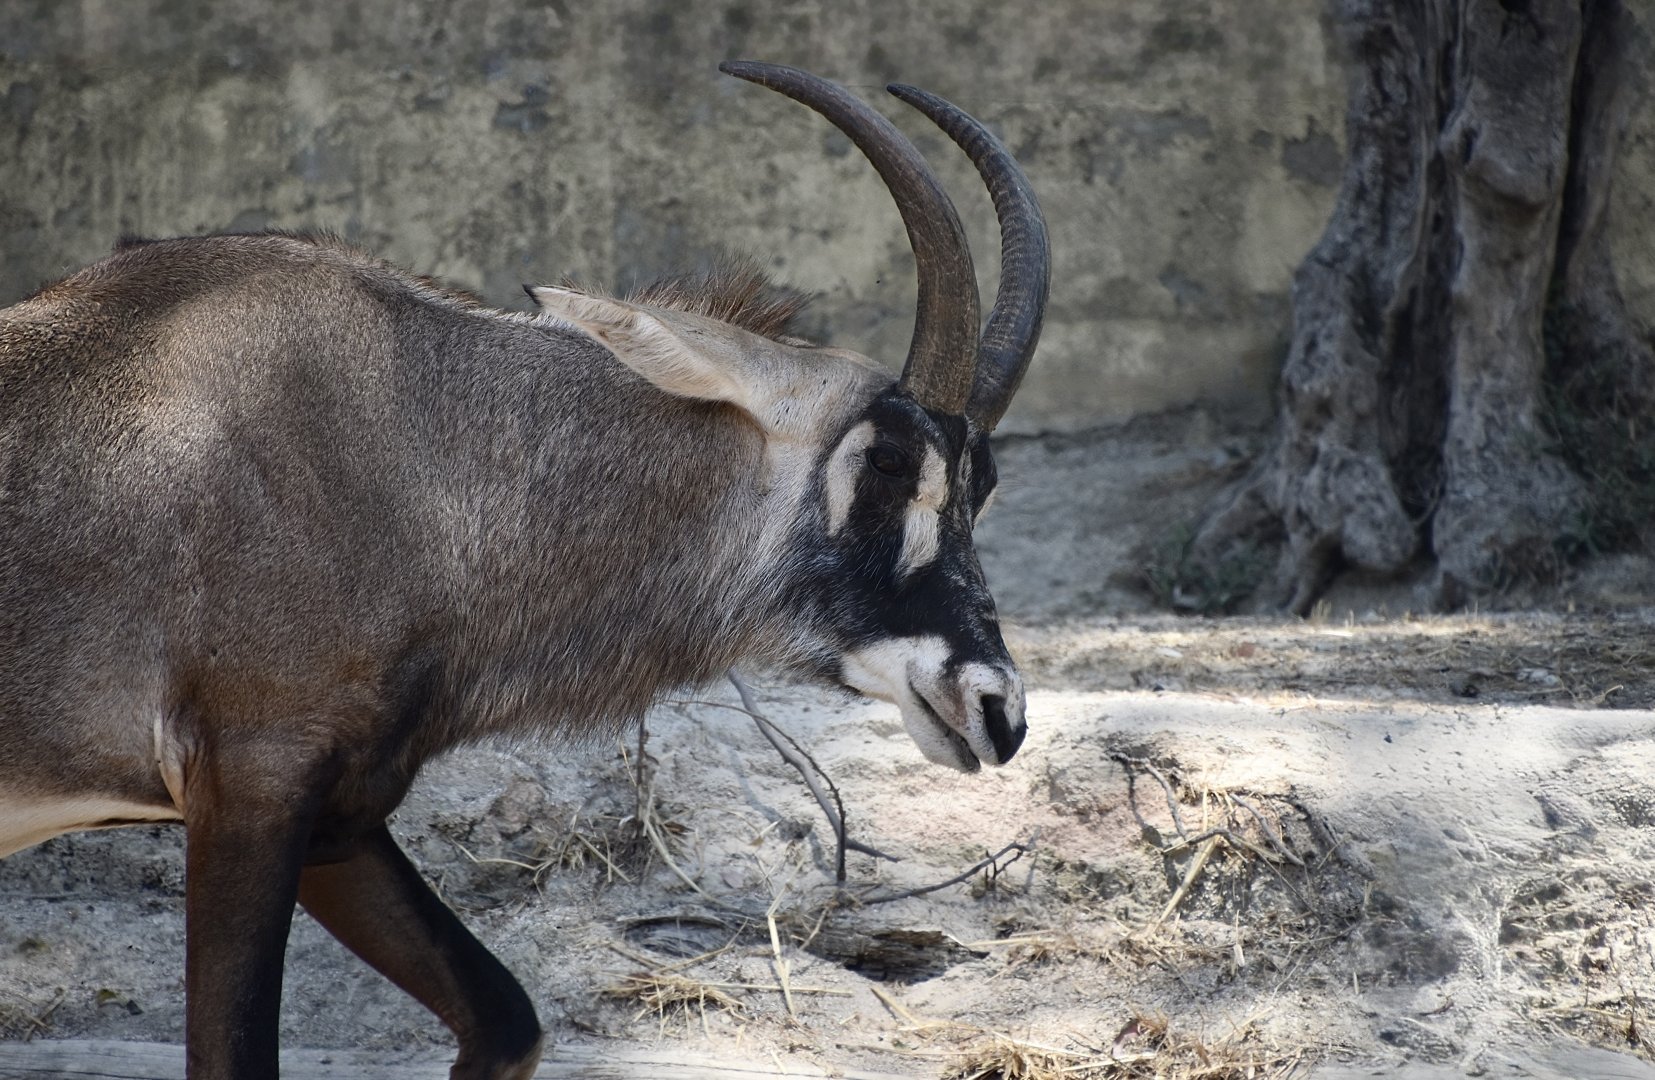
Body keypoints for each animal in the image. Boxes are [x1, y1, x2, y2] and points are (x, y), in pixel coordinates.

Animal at [0, 61, 1049, 1079]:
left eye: (986, 478)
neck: (403, 436)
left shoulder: (337, 816)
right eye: (887, 461)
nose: (995, 710)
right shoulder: (251, 790)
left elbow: (509, 1027)